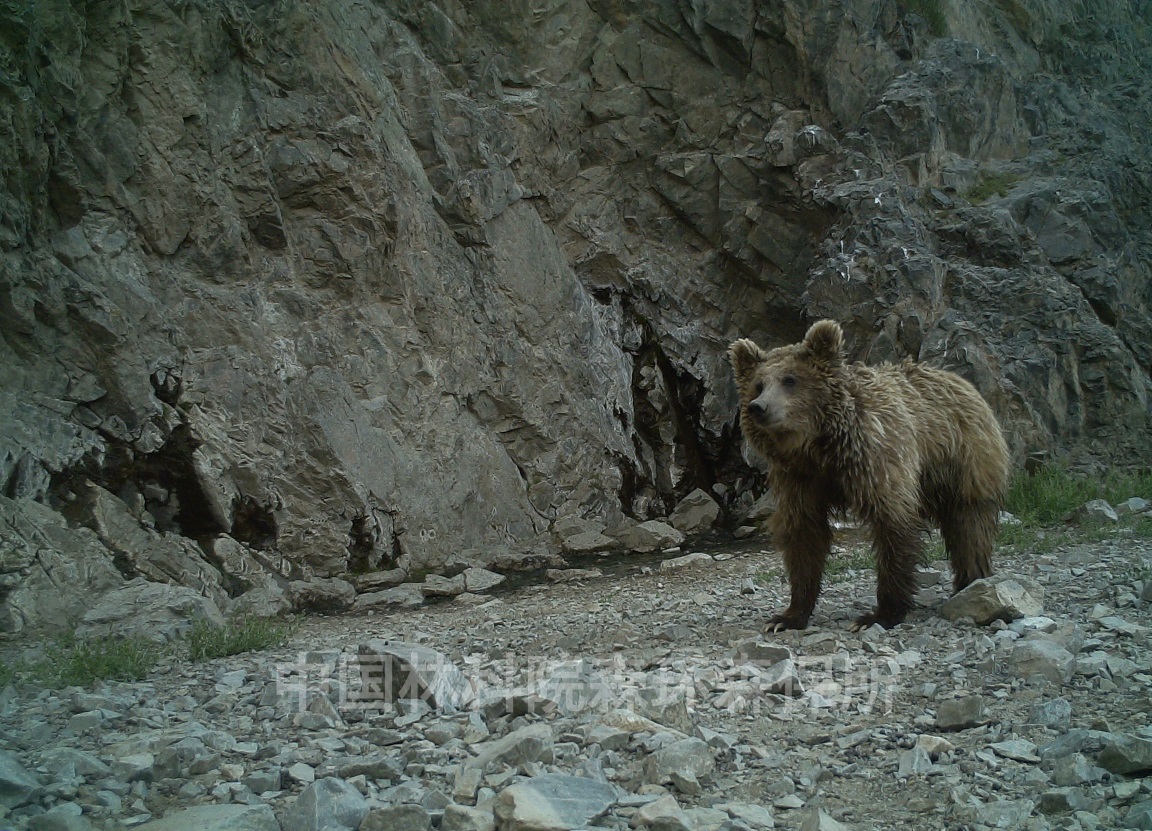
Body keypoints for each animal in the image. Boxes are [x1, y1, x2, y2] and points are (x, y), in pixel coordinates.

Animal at [728, 320, 1009, 626]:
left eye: (790, 380)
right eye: (758, 384)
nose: (759, 407)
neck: (819, 447)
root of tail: (960, 380)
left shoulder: (875, 459)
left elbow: (892, 524)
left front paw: (880, 613)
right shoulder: (799, 478)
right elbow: (804, 533)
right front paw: (788, 615)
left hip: (963, 460)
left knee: (969, 524)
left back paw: (971, 581)